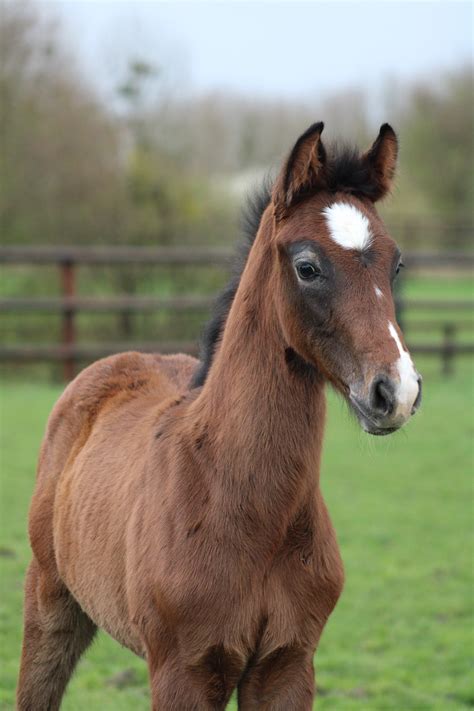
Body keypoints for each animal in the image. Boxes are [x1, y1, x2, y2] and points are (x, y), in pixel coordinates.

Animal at [16, 124, 420, 711]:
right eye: (307, 266)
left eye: (396, 264)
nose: (397, 391)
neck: (242, 503)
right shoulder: (182, 671)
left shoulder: (286, 665)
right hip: (50, 603)